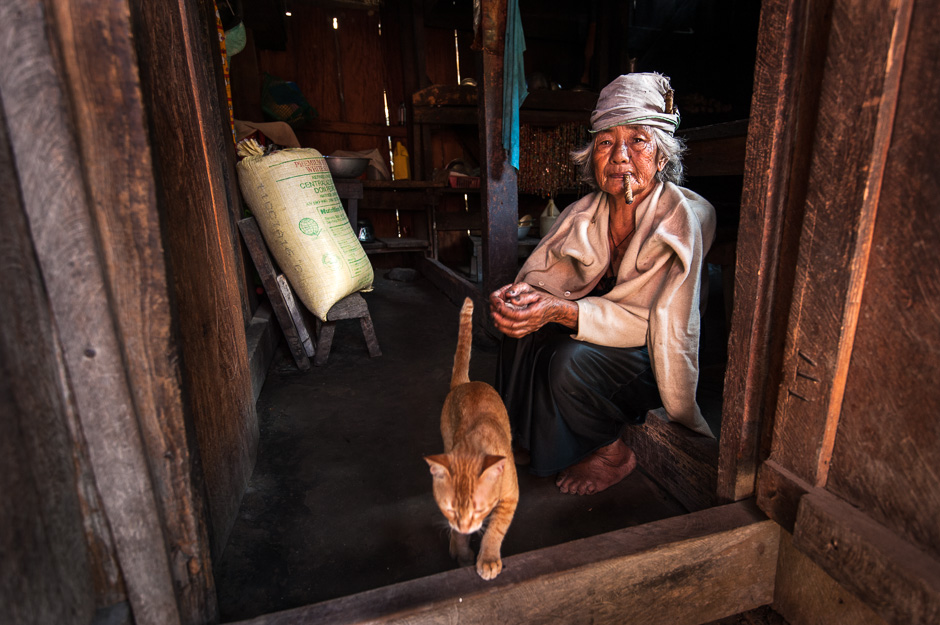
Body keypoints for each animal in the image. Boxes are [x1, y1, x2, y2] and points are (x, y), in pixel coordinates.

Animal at [426, 298, 520, 580]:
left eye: (479, 509)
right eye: (450, 509)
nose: (465, 526)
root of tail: (466, 383)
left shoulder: (511, 497)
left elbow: (495, 530)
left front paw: (487, 559)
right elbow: (457, 535)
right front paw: (461, 551)